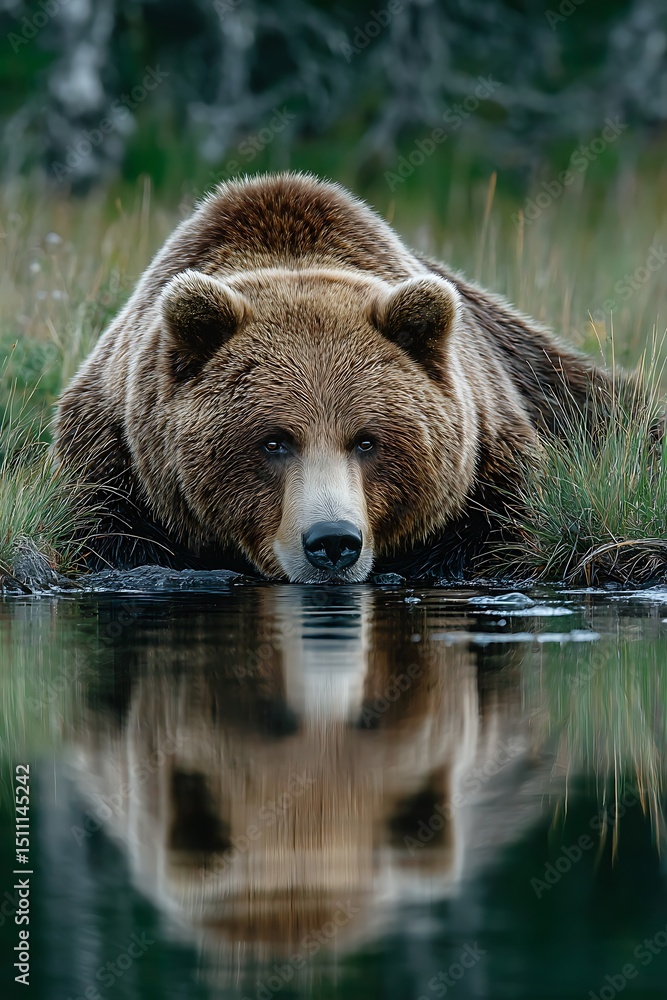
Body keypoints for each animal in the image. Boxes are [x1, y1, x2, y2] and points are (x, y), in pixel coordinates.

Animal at [54, 171, 610, 582]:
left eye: (367, 441)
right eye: (274, 441)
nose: (333, 542)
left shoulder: (492, 464)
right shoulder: (113, 465)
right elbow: (112, 538)